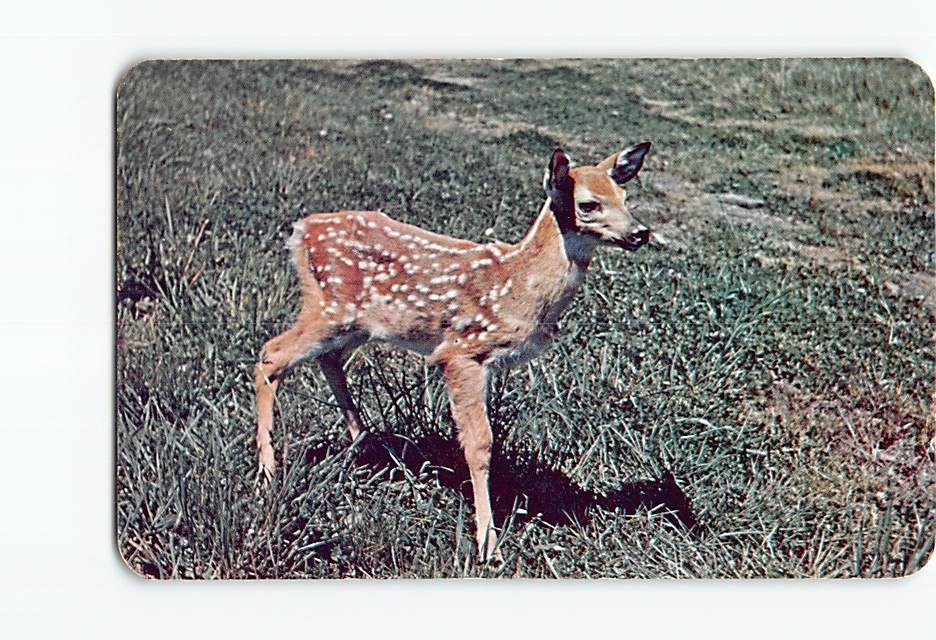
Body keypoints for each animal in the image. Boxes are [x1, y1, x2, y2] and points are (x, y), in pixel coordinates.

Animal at [255, 143, 653, 562]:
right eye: (589, 204)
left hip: (356, 323)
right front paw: (488, 545)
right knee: (271, 355)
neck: (519, 287)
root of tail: (301, 230)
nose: (640, 232)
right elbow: (480, 444)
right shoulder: (463, 350)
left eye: (625, 197)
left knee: (325, 359)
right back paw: (268, 477)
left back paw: (367, 446)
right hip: (329, 308)